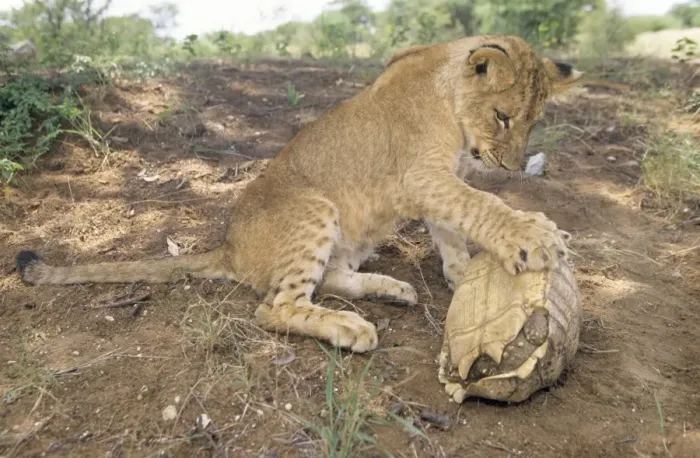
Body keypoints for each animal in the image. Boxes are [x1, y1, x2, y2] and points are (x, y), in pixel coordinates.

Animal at [16, 35, 583, 353]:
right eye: (503, 117)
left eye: (532, 122)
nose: (512, 166)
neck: (448, 93)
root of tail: (229, 249)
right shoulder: (422, 177)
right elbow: (480, 206)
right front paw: (535, 235)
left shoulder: (438, 181)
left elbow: (453, 232)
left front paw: (466, 278)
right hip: (312, 208)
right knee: (275, 307)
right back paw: (352, 329)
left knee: (329, 278)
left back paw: (390, 289)